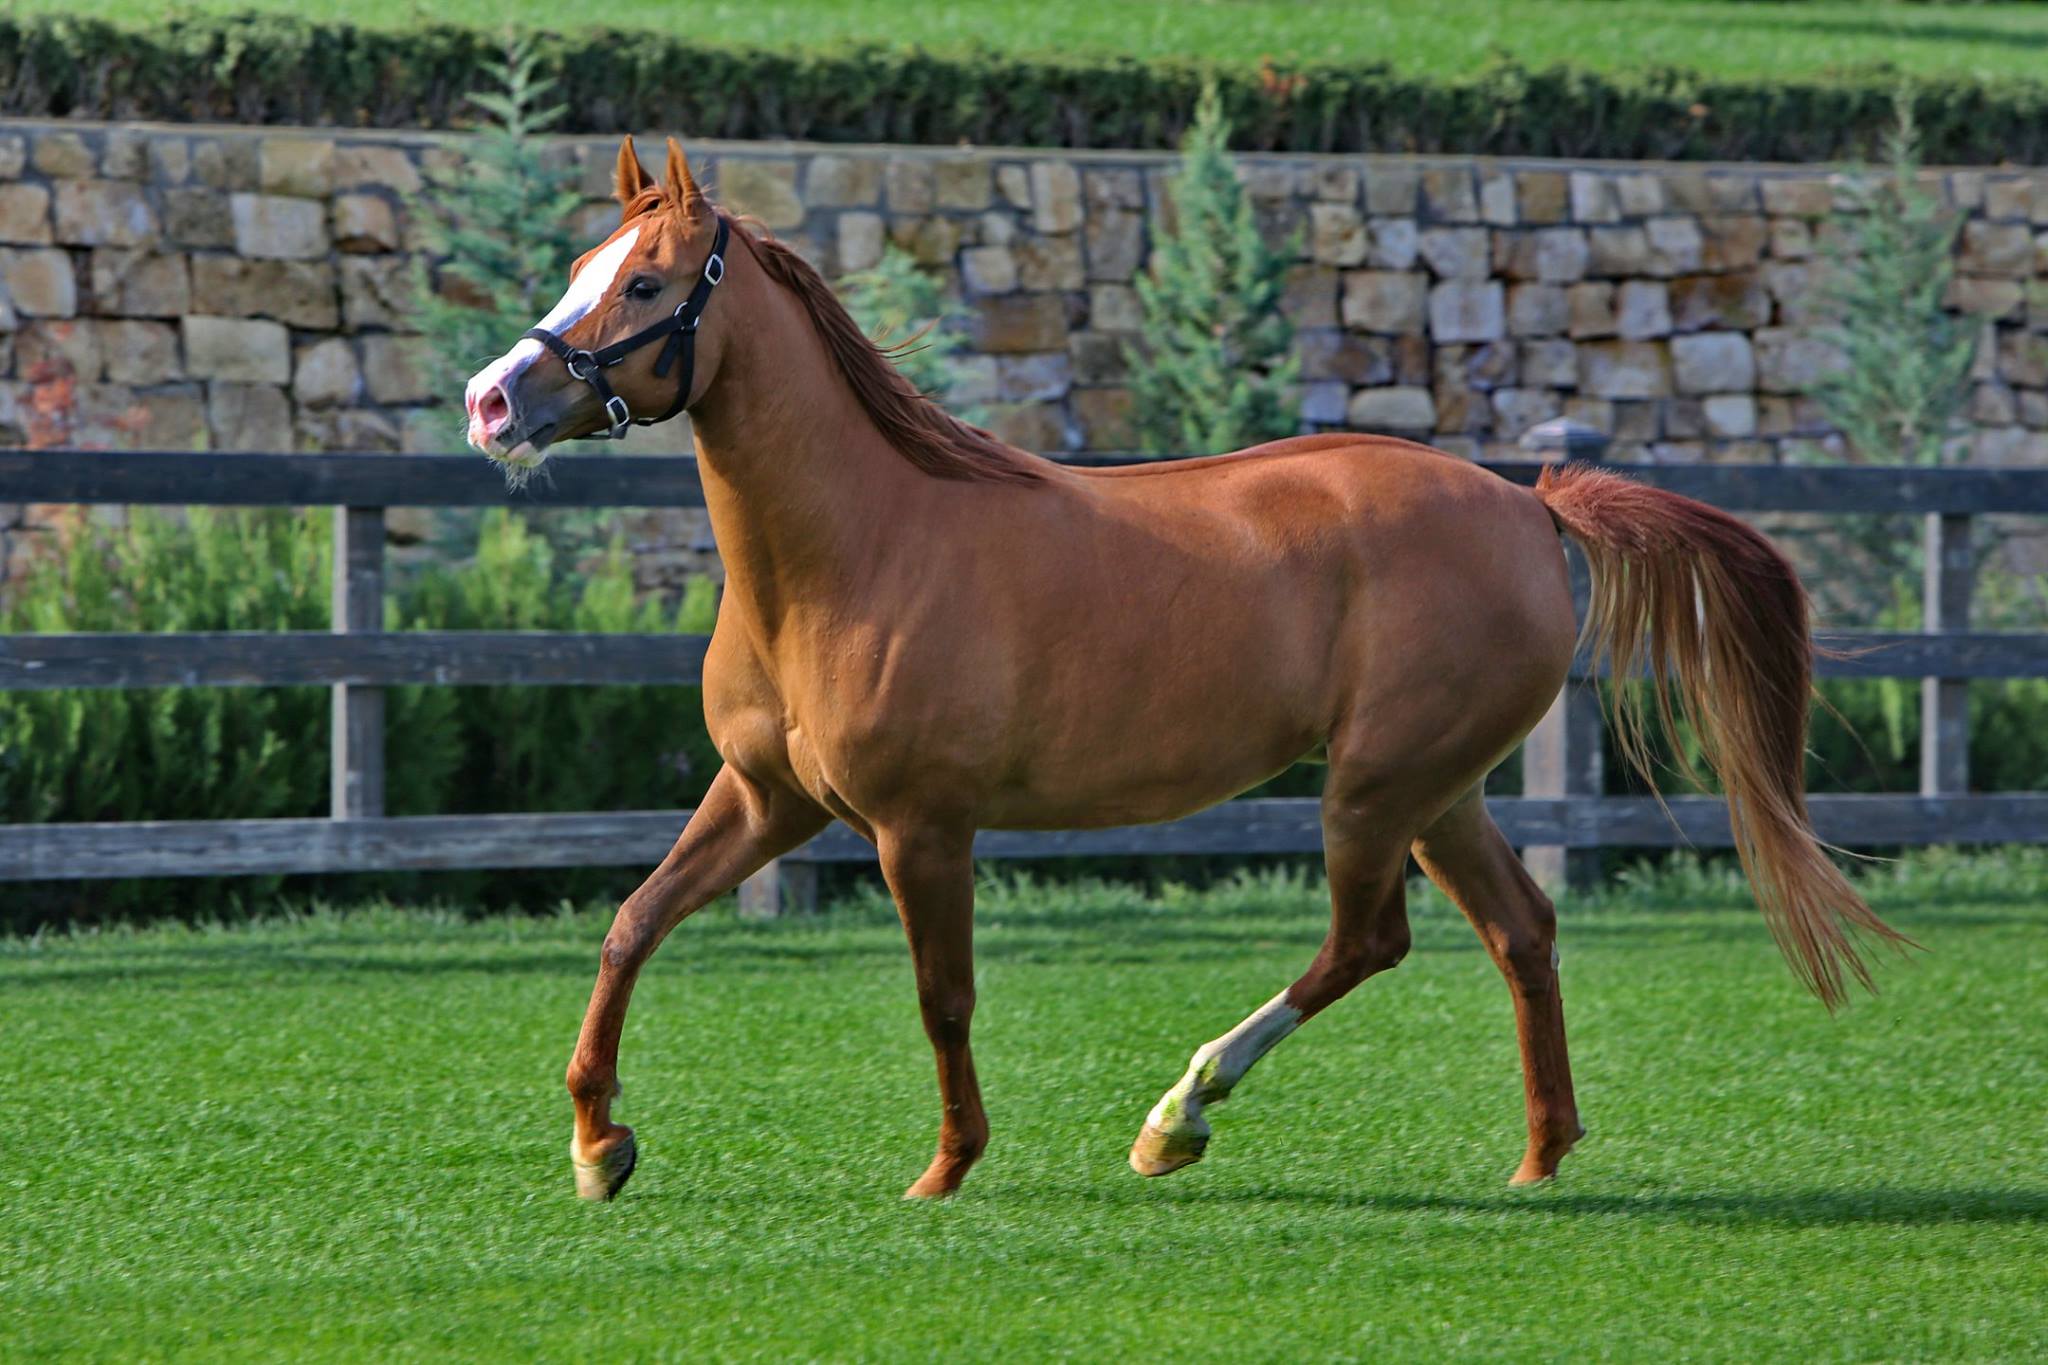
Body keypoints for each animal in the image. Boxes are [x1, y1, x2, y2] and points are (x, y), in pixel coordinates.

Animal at [464, 141, 1900, 1203]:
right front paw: (599, 1149)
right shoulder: (769, 801)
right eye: (583, 265)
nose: (491, 402)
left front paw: (946, 1169)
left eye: (647, 284)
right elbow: (633, 921)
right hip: (1441, 791)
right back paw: (1540, 1155)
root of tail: (1525, 503)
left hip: (1374, 789)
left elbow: (943, 996)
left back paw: (1180, 1116)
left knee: (1368, 940)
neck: (853, 550)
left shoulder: (922, 825)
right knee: (1521, 931)